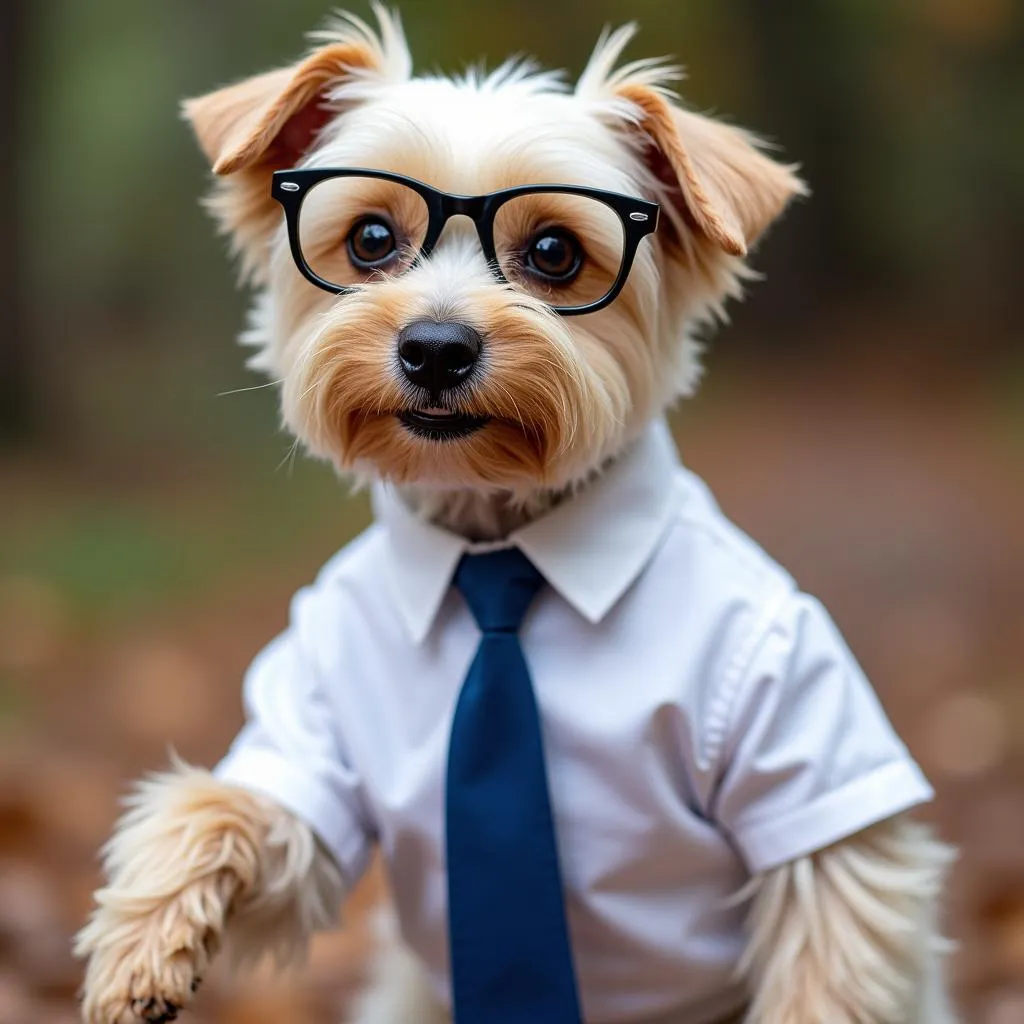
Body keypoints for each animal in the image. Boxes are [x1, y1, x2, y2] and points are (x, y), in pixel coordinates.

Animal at [75, 8, 954, 1024]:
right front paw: (141, 940)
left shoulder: (810, 767)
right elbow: (228, 807)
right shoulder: (312, 733)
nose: (435, 347)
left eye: (555, 253)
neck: (495, 545)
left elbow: (827, 942)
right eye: (370, 237)